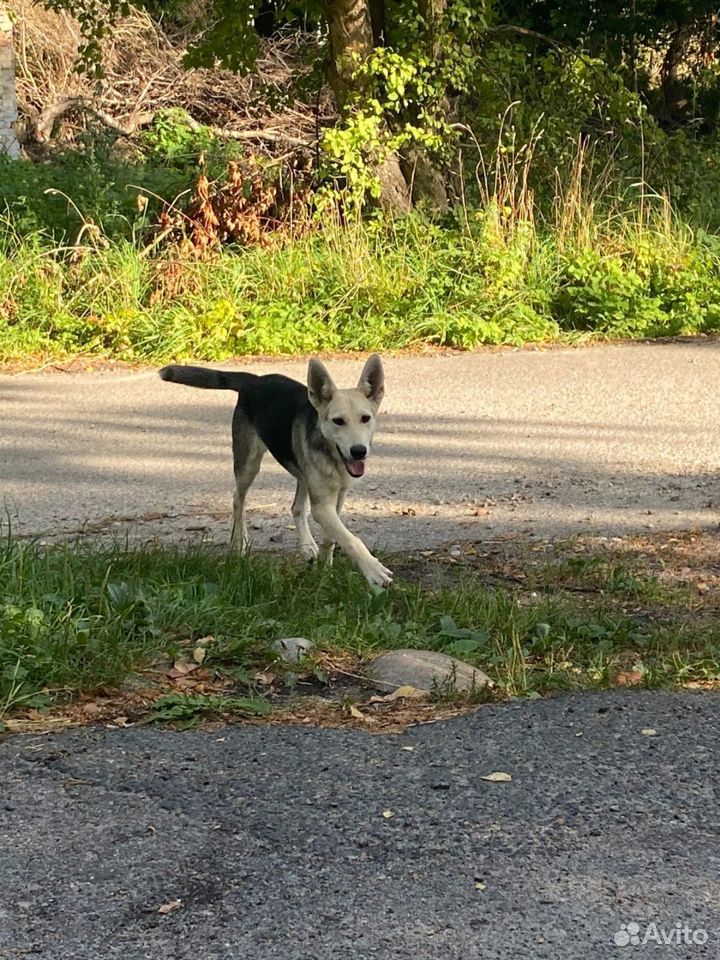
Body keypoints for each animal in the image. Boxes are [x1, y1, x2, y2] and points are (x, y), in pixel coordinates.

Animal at [159, 356, 394, 588]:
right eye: (338, 421)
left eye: (365, 418)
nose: (358, 451)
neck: (333, 457)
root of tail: (254, 380)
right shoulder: (322, 507)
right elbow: (351, 539)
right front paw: (374, 571)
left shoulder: (338, 496)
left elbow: (333, 537)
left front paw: (326, 570)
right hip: (249, 463)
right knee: (238, 499)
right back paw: (239, 544)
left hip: (301, 469)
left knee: (296, 507)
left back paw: (307, 546)